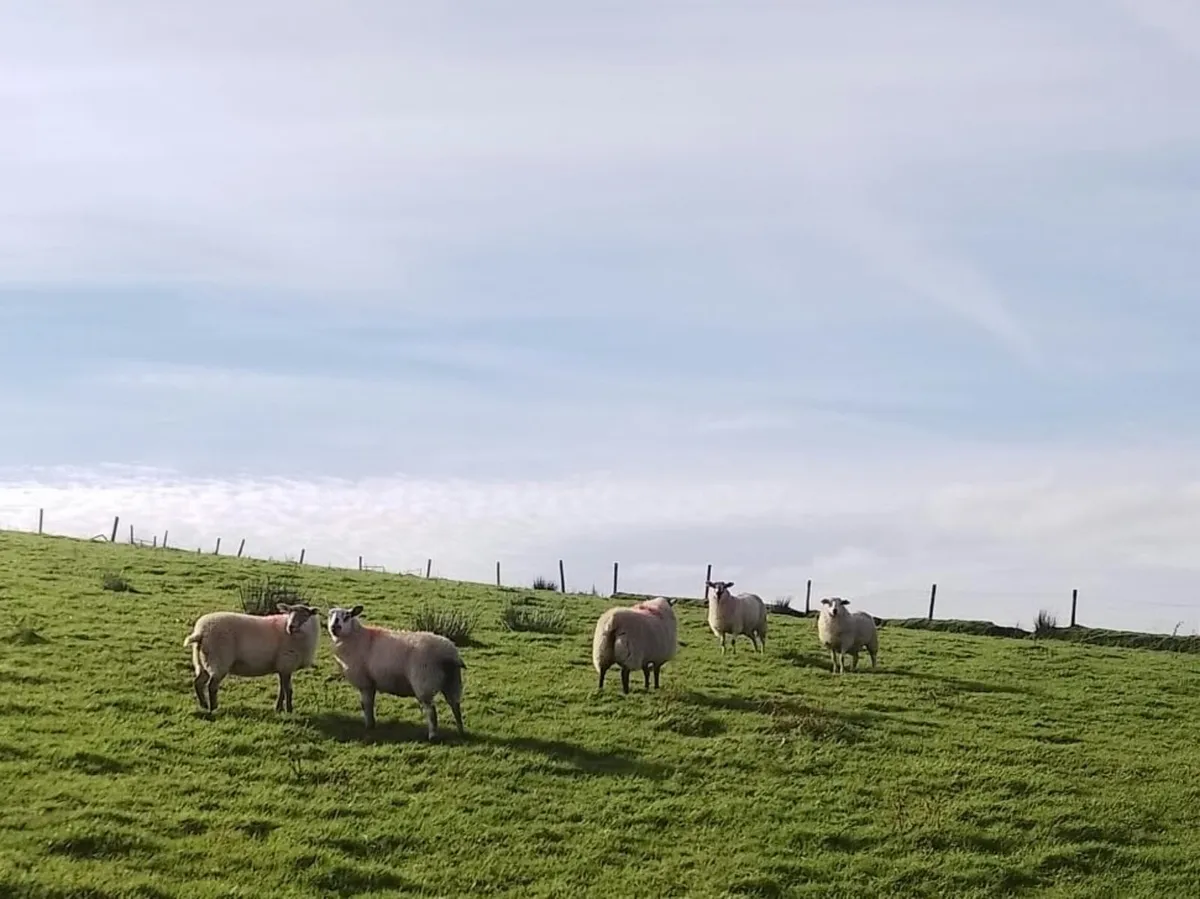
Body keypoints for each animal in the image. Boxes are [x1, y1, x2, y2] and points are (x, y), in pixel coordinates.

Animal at [182, 602, 321, 713]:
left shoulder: (283, 667)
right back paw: (213, 708)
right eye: (289, 613)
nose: (291, 626)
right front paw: (289, 710)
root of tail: (201, 632)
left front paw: (279, 708)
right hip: (218, 660)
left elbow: (282, 688)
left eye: (305, 615)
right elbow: (288, 690)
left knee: (198, 683)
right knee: (211, 686)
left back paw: (204, 705)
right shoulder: (286, 663)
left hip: (202, 660)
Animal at [326, 605, 466, 741]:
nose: (334, 627)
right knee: (455, 706)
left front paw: (368, 726)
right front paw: (372, 724)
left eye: (347, 616)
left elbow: (365, 705)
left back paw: (433, 736)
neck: (357, 637)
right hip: (452, 681)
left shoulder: (364, 682)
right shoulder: (371, 683)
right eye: (330, 615)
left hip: (425, 681)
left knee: (431, 710)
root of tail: (449, 653)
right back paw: (461, 731)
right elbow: (370, 704)